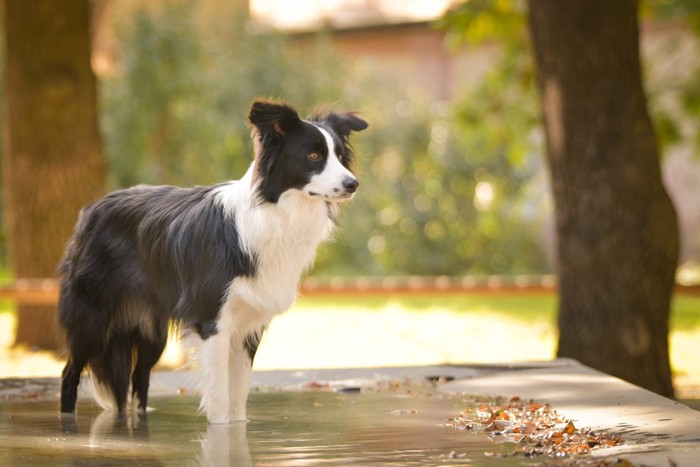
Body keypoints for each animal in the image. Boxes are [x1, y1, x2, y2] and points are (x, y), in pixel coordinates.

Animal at [57, 98, 370, 424]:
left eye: (340, 157)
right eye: (313, 155)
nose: (353, 184)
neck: (274, 212)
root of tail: (92, 209)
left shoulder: (248, 325)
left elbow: (239, 395)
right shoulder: (212, 321)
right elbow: (220, 395)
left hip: (151, 330)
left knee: (139, 378)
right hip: (92, 318)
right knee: (70, 373)